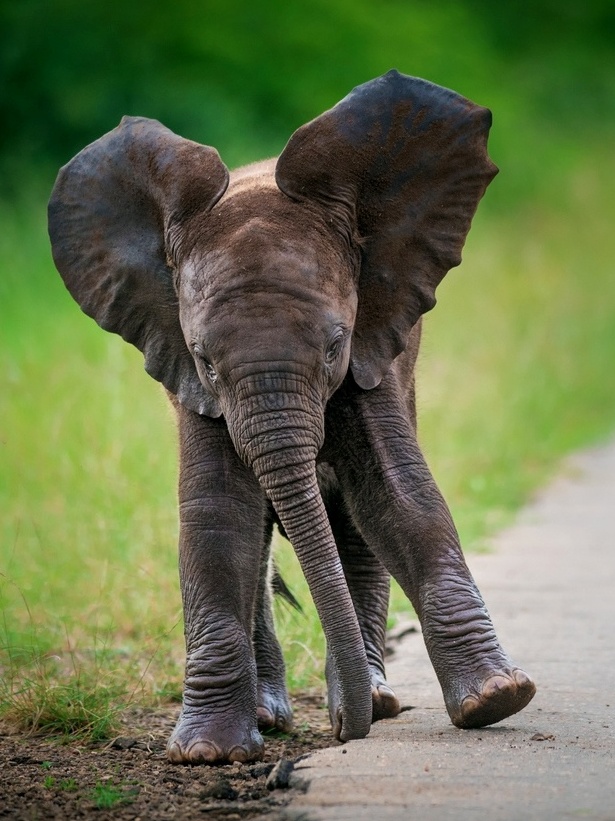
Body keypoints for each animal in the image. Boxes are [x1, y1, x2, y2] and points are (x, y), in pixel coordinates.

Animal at [48, 70, 535, 765]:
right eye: (205, 359)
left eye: (335, 345)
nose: (343, 730)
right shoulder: (185, 373)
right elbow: (218, 515)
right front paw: (208, 754)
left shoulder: (372, 347)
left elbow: (398, 496)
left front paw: (496, 702)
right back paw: (272, 714)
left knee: (352, 525)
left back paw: (374, 698)